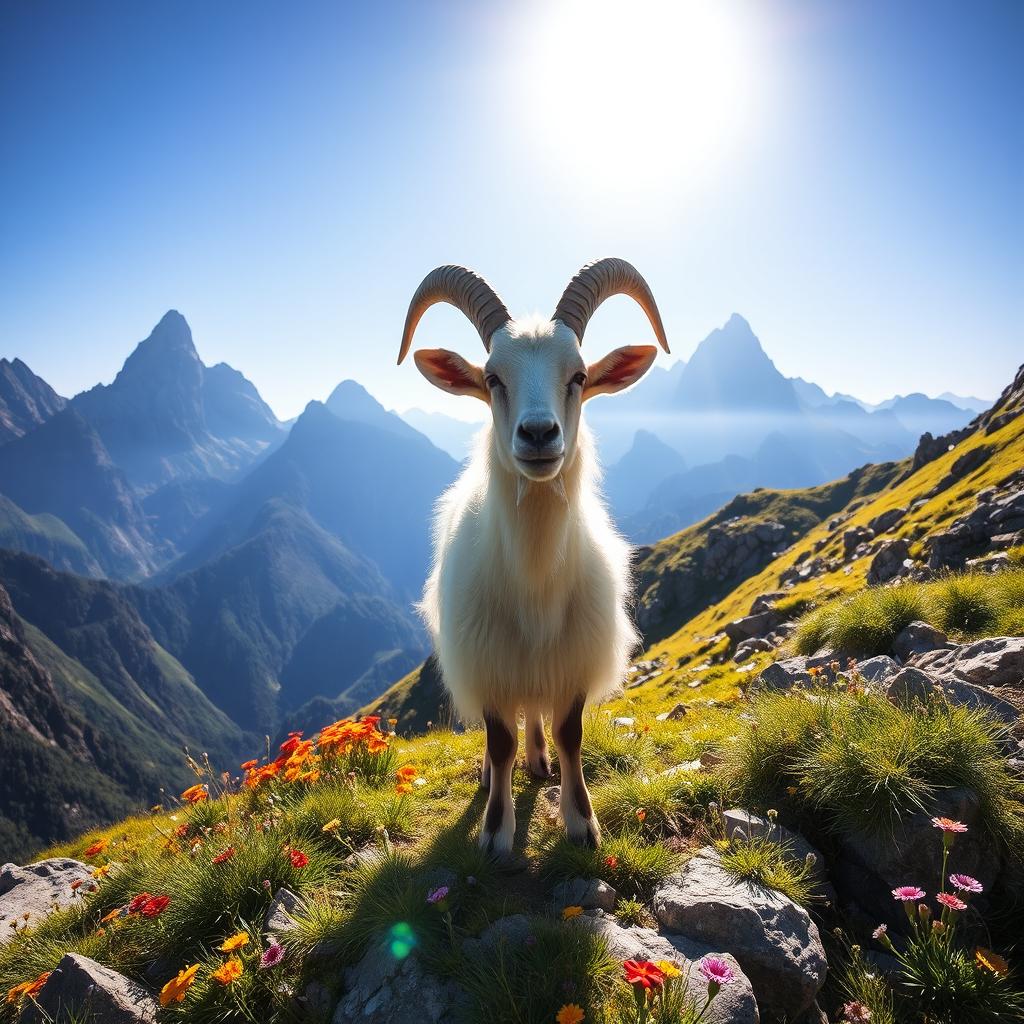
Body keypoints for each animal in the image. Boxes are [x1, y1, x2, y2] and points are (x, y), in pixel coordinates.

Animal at [398, 259, 669, 854]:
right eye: (492, 379)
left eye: (580, 377)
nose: (540, 434)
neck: (536, 583)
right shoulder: (486, 664)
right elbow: (499, 740)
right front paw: (495, 832)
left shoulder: (574, 662)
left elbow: (570, 734)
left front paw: (581, 821)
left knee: (535, 715)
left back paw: (540, 760)